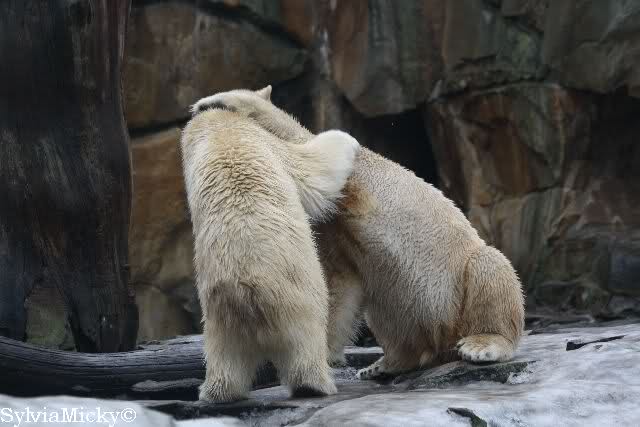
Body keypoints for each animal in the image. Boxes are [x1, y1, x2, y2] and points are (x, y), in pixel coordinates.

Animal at [180, 99, 359, 402]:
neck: (220, 133)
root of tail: (249, 291)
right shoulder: (271, 147)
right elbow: (313, 173)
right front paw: (349, 140)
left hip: (219, 316)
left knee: (225, 358)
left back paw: (215, 393)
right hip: (298, 296)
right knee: (307, 342)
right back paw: (317, 385)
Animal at [192, 86, 526, 379]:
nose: (198, 108)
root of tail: (443, 340)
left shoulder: (353, 181)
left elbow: (305, 140)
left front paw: (215, 101)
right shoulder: (335, 231)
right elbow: (341, 283)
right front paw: (323, 351)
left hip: (459, 285)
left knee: (489, 265)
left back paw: (482, 345)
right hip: (406, 307)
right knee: (387, 309)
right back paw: (384, 364)